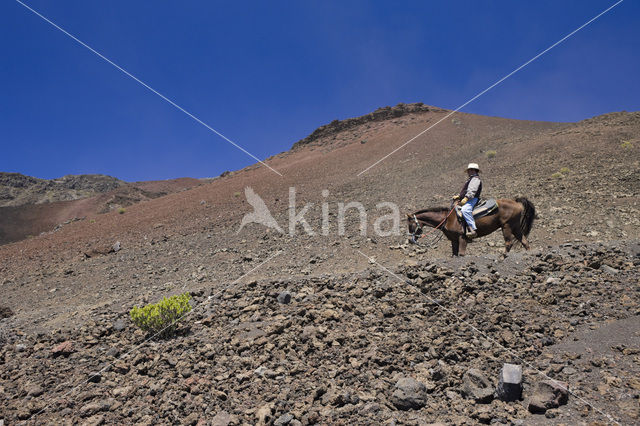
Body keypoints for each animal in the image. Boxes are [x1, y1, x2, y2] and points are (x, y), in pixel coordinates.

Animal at [408, 197, 536, 255]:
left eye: (410, 224)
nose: (410, 240)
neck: (447, 218)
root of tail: (517, 202)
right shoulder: (454, 240)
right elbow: (455, 254)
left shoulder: (462, 238)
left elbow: (461, 254)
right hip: (516, 227)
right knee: (525, 241)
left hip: (507, 226)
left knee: (509, 243)